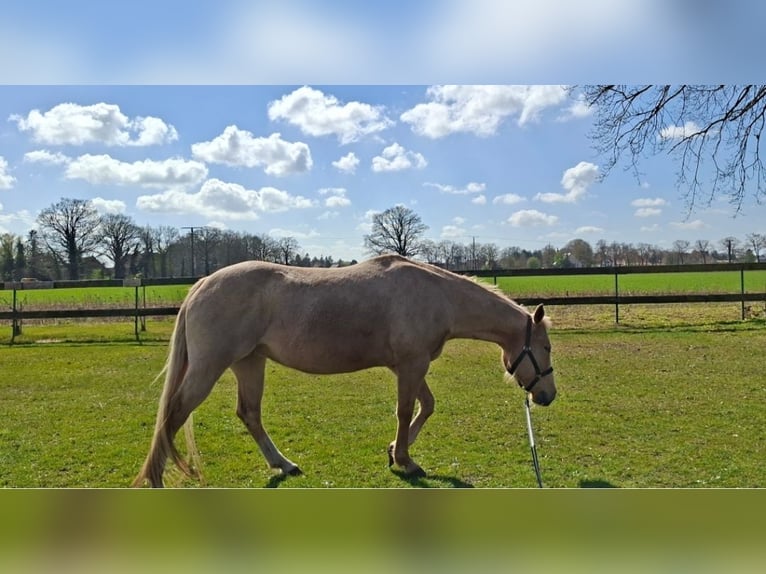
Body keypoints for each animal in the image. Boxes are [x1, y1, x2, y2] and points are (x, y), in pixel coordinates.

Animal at [132, 254, 556, 487]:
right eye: (547, 347)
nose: (547, 395)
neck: (437, 296)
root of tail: (202, 283)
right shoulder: (411, 364)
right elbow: (406, 411)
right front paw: (406, 461)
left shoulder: (409, 366)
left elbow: (426, 407)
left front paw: (394, 452)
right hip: (210, 366)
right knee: (174, 414)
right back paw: (155, 479)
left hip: (249, 362)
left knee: (249, 414)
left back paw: (284, 465)